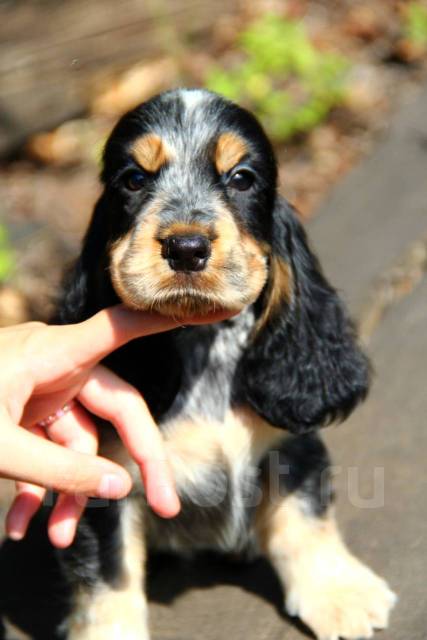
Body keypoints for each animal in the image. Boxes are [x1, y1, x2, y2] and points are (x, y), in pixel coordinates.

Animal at [0, 89, 398, 640]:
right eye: (134, 179)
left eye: (242, 178)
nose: (186, 247)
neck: (202, 343)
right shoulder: (102, 481)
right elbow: (109, 573)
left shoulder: (291, 445)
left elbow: (305, 518)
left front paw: (339, 593)